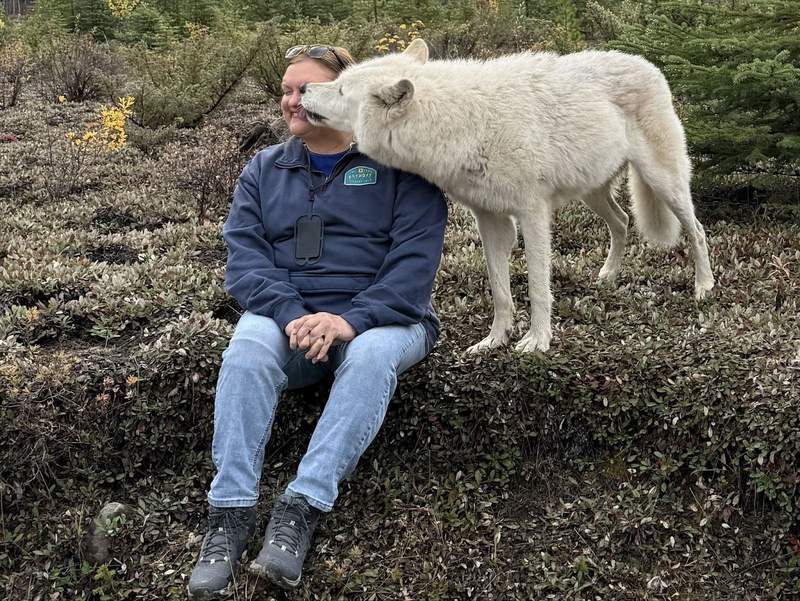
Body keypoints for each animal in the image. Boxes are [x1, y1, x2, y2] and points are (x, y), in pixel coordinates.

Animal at [299, 39, 715, 353]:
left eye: (340, 89)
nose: (302, 88)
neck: (463, 122)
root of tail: (648, 64)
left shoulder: (533, 215)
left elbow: (537, 287)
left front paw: (537, 341)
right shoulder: (490, 221)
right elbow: (500, 290)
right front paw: (494, 341)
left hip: (664, 182)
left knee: (696, 229)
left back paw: (704, 288)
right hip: (594, 194)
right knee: (624, 221)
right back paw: (607, 276)